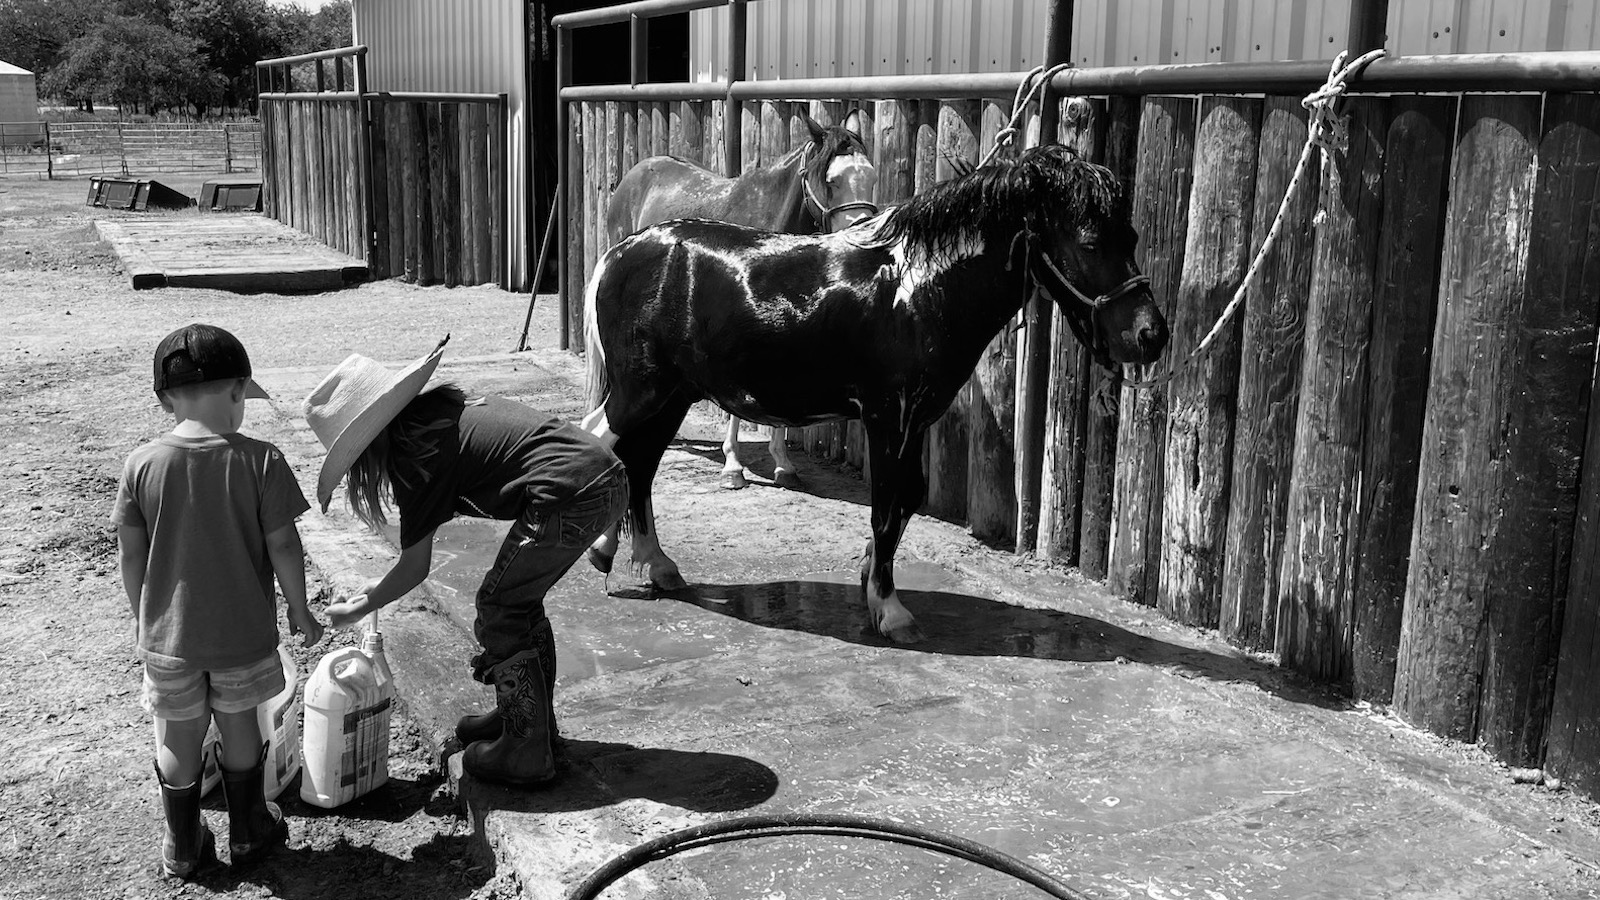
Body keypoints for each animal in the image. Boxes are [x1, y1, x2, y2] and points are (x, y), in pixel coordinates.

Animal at [604, 109, 878, 491]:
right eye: (832, 180)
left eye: (870, 175)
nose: (865, 233)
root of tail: (639, 170)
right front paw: (733, 467)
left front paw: (784, 465)